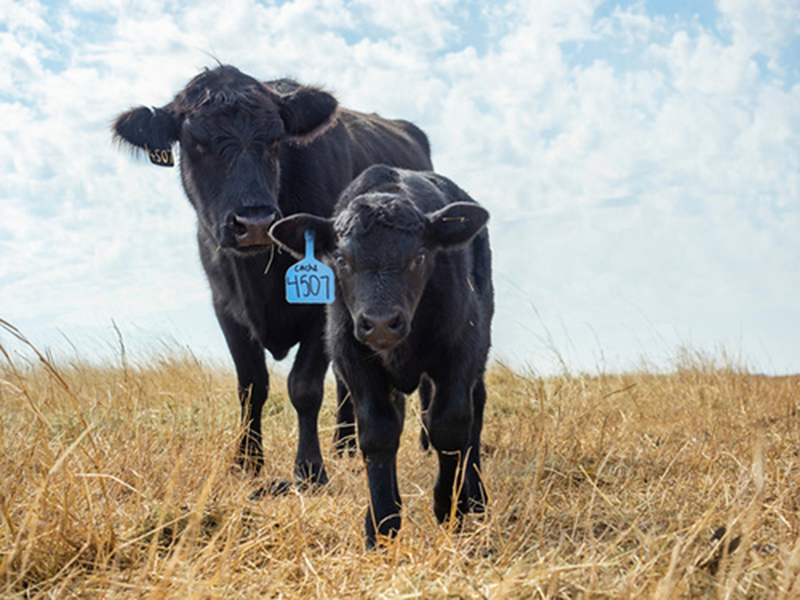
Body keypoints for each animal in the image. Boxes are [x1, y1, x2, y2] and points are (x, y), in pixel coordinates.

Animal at [112, 65, 433, 491]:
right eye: (195, 141)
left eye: (276, 138)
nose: (254, 223)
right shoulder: (225, 306)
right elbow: (251, 386)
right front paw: (246, 461)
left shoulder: (321, 303)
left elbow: (304, 387)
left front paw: (309, 469)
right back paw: (345, 444)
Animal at [270, 165, 494, 548]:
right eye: (341, 260)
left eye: (419, 256)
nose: (380, 323)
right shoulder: (352, 360)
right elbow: (378, 433)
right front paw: (381, 522)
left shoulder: (462, 348)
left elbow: (450, 426)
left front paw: (451, 508)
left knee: (475, 412)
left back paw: (476, 493)